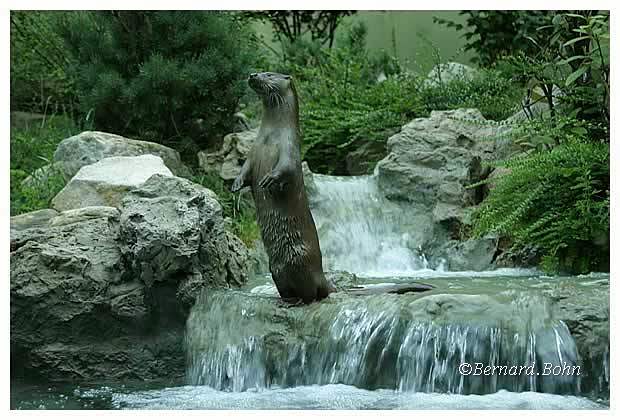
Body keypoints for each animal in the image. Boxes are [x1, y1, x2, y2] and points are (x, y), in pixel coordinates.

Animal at [231, 71, 330, 302]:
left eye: (268, 74)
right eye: (260, 71)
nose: (253, 74)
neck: (270, 137)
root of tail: (322, 277)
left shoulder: (290, 150)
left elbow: (287, 169)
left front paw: (269, 179)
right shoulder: (253, 152)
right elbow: (245, 170)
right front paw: (236, 183)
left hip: (300, 261)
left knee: (311, 293)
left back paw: (298, 301)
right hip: (275, 269)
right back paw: (286, 300)